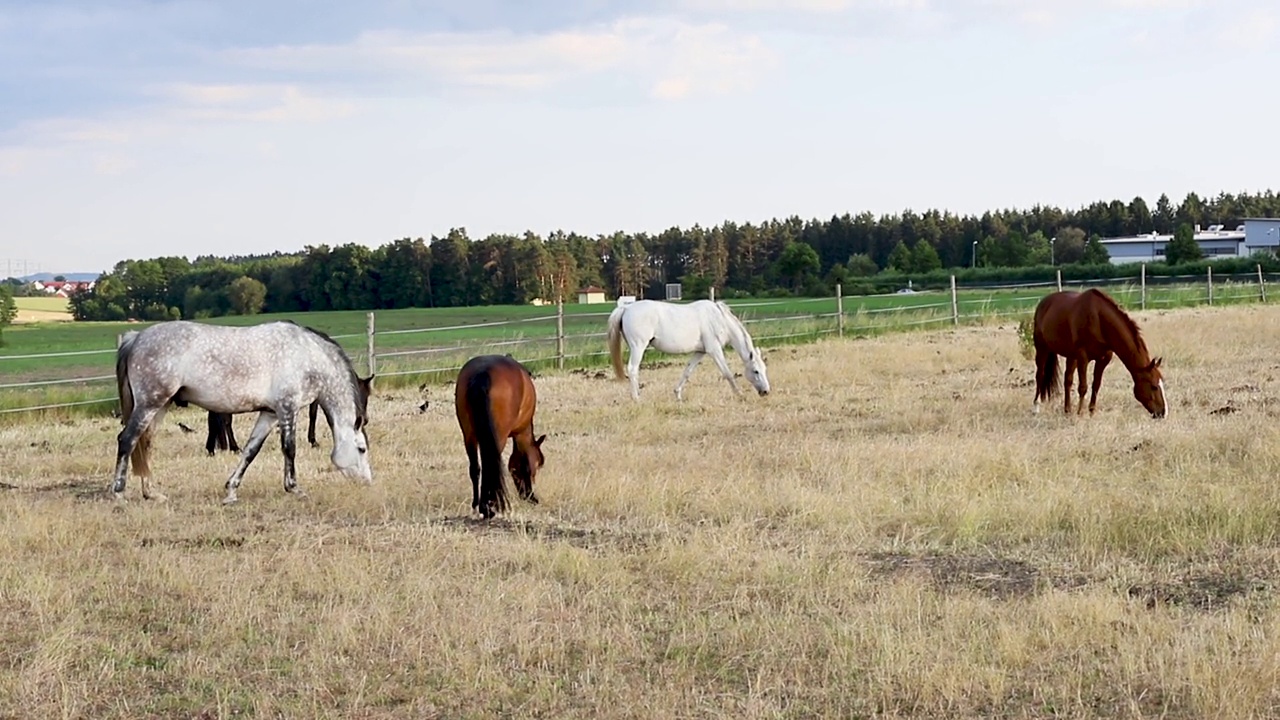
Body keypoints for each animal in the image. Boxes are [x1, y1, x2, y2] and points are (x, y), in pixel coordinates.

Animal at [112, 322, 373, 502]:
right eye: (361, 449)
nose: (368, 481)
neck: (308, 357)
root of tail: (136, 337)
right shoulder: (287, 408)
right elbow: (289, 449)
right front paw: (294, 488)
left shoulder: (269, 413)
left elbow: (250, 451)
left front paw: (231, 490)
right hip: (150, 404)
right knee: (127, 440)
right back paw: (118, 493)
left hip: (160, 406)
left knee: (144, 444)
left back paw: (151, 493)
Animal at [455, 351, 545, 515]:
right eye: (538, 464)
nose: (526, 496)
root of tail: (482, 373)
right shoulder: (521, 434)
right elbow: (525, 463)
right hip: (498, 437)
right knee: (490, 464)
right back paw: (488, 507)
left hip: (469, 436)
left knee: (475, 467)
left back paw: (477, 504)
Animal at [606, 295, 768, 399]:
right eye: (756, 371)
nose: (766, 391)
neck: (719, 319)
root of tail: (626, 308)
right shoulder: (714, 350)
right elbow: (727, 373)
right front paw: (740, 394)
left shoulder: (700, 351)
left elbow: (687, 372)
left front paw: (677, 394)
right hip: (638, 347)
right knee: (632, 369)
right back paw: (636, 399)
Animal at [1034, 285, 1167, 417]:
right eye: (1154, 386)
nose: (1163, 412)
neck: (1099, 320)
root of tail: (1043, 302)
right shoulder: (1083, 357)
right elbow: (1083, 387)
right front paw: (1080, 413)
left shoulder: (1103, 359)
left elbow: (1096, 385)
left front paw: (1091, 412)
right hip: (1042, 349)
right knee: (1040, 375)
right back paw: (1036, 407)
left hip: (1071, 356)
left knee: (1068, 379)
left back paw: (1067, 410)